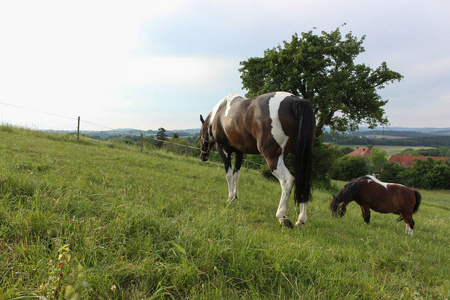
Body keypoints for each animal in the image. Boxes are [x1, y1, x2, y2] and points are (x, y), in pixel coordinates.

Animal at [199, 91, 314, 227]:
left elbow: (229, 175)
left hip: (273, 158)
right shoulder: (239, 152)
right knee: (304, 182)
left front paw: (230, 198)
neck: (220, 113)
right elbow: (236, 175)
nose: (203, 156)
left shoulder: (223, 150)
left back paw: (282, 216)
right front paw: (236, 197)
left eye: (201, 134)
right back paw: (301, 219)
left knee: (287, 180)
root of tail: (295, 100)